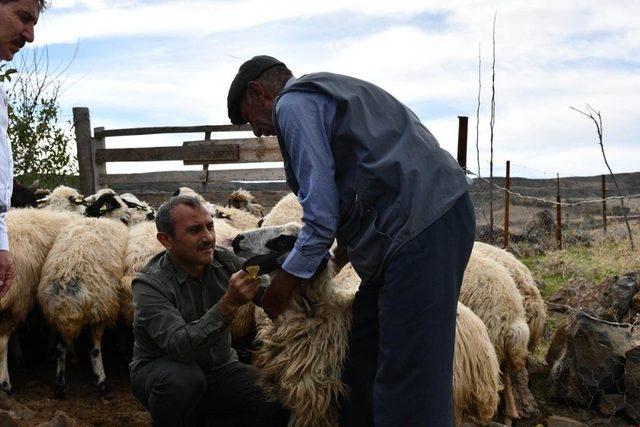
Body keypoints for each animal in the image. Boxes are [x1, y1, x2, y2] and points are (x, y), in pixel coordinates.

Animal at [37, 217, 129, 398]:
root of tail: (65, 292)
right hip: (101, 311)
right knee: (93, 350)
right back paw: (102, 383)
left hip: (60, 319)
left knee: (60, 349)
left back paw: (60, 386)